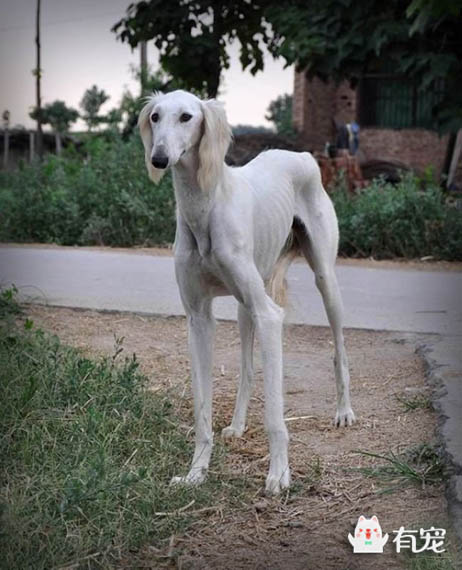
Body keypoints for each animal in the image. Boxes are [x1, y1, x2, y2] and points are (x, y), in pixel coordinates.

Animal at [137, 90, 354, 492]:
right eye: (155, 117)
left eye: (187, 116)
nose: (159, 158)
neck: (205, 209)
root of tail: (302, 155)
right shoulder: (198, 319)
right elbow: (202, 411)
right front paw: (196, 473)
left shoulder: (270, 317)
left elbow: (274, 415)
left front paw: (279, 475)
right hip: (244, 305)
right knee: (247, 369)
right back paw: (237, 426)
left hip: (324, 279)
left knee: (339, 349)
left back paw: (344, 410)